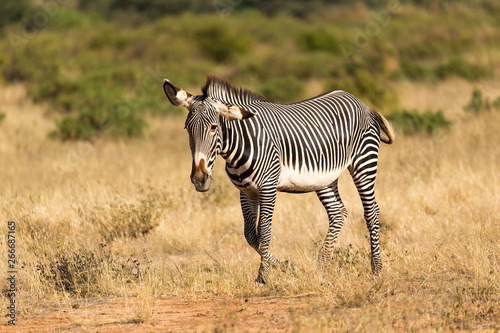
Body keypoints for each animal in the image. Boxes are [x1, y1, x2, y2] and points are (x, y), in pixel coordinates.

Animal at [164, 75, 394, 282]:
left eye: (213, 127)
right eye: (187, 129)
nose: (199, 179)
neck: (240, 145)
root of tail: (359, 101)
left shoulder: (268, 187)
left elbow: (264, 231)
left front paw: (263, 276)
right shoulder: (246, 191)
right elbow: (251, 235)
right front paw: (287, 266)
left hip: (364, 162)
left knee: (371, 212)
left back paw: (376, 269)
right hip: (325, 178)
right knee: (338, 213)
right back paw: (321, 266)